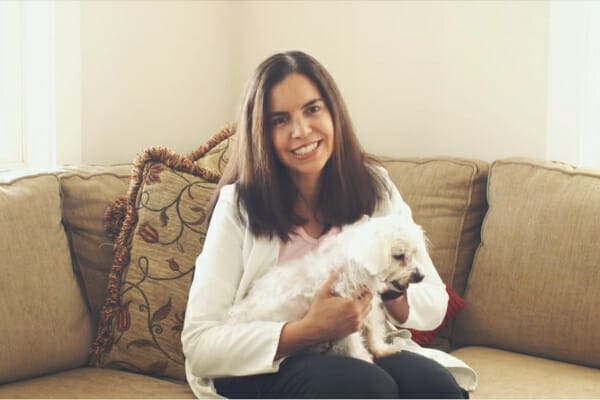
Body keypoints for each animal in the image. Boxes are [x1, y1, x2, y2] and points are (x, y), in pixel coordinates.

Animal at [226, 214, 426, 364]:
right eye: (399, 256)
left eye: (415, 252)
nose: (421, 276)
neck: (355, 265)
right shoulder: (345, 314)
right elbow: (354, 341)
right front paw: (363, 358)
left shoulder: (367, 306)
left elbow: (373, 330)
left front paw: (381, 349)